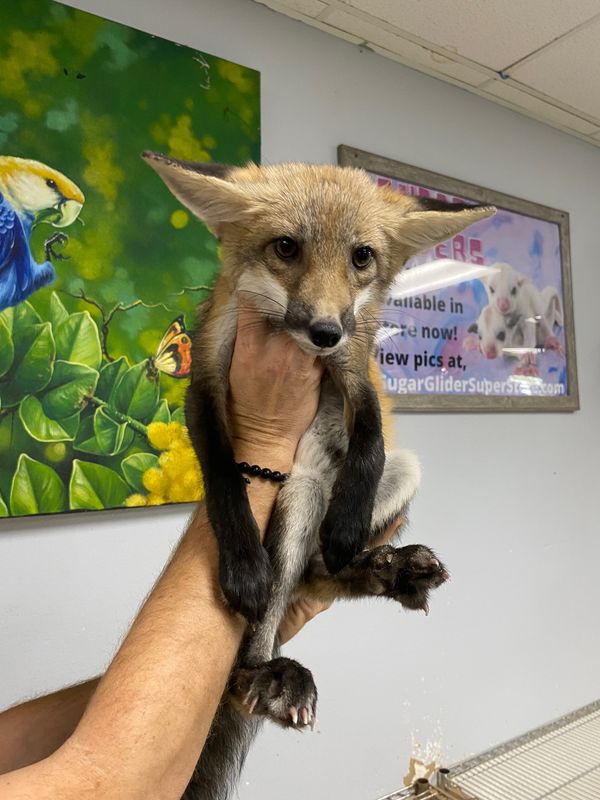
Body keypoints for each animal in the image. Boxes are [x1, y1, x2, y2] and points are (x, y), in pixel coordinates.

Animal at [143, 151, 495, 800]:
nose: (324, 330)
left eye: (362, 257)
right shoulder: (206, 377)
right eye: (286, 247)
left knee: (322, 571)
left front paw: (350, 524)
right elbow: (222, 474)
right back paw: (264, 670)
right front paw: (243, 564)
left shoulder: (356, 366)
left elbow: (371, 440)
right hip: (301, 495)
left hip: (379, 479)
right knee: (290, 589)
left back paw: (383, 565)